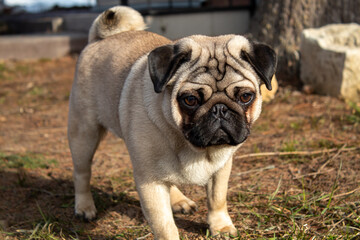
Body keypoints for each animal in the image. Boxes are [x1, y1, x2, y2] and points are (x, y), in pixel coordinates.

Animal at [68, 6, 276, 240]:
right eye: (190, 100)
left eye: (245, 97)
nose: (220, 109)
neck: (193, 147)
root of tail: (99, 38)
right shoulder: (150, 183)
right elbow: (164, 225)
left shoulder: (221, 169)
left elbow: (217, 199)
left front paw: (220, 227)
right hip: (84, 133)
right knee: (82, 172)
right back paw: (84, 206)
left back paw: (179, 200)